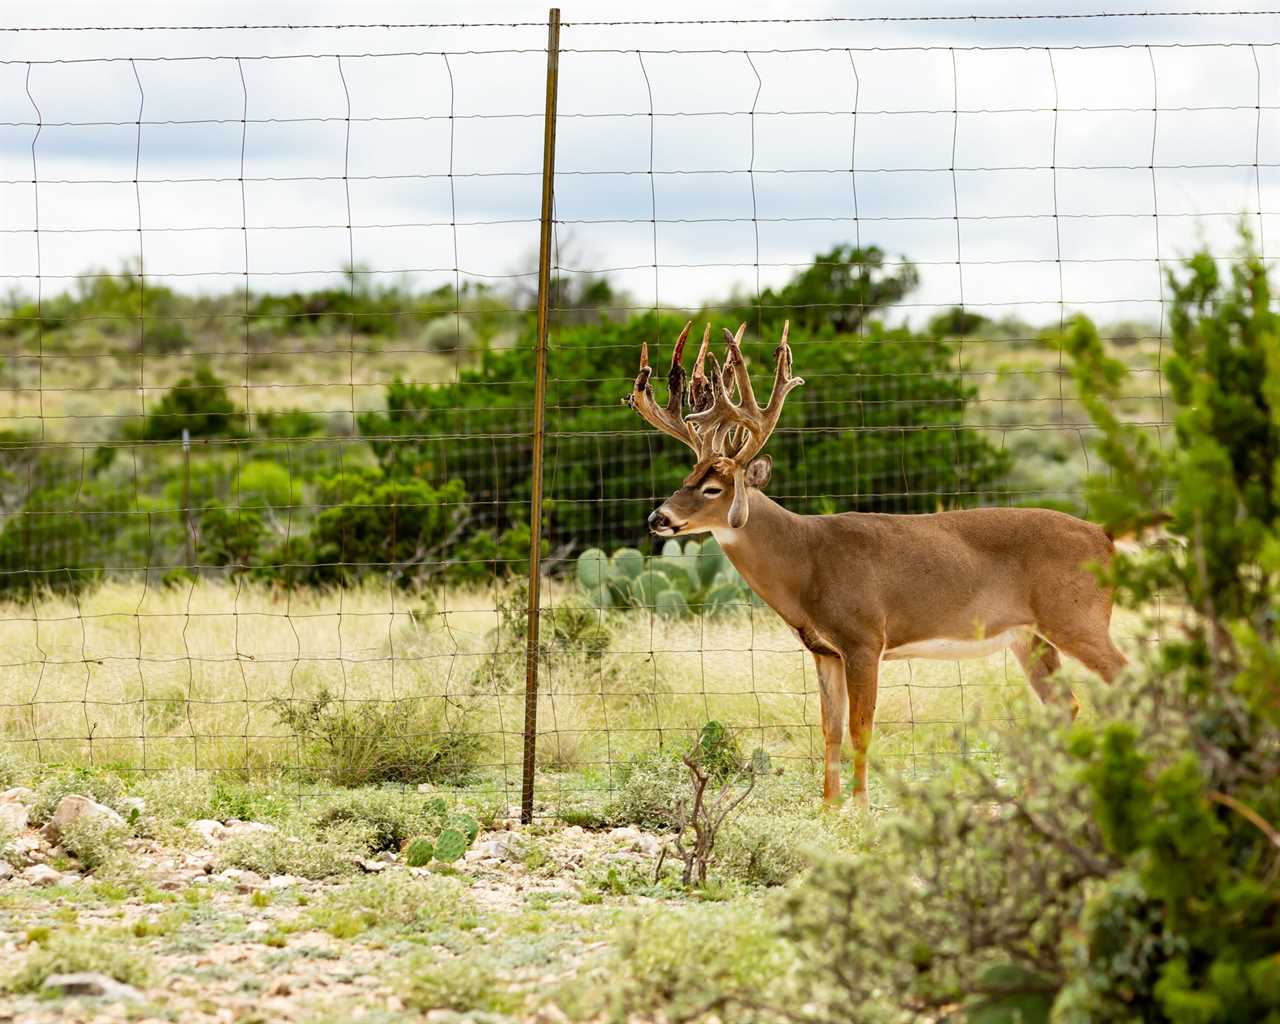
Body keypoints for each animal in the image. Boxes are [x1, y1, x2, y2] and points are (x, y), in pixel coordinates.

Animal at [624, 320, 1126, 808]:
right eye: (687, 477)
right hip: (1029, 637)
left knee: (1120, 677)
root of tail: (1105, 535)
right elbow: (828, 730)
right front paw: (827, 811)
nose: (657, 518)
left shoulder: (864, 638)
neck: (806, 560)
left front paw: (861, 811)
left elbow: (860, 730)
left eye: (713, 489)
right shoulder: (824, 649)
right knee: (1065, 705)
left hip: (1077, 618)